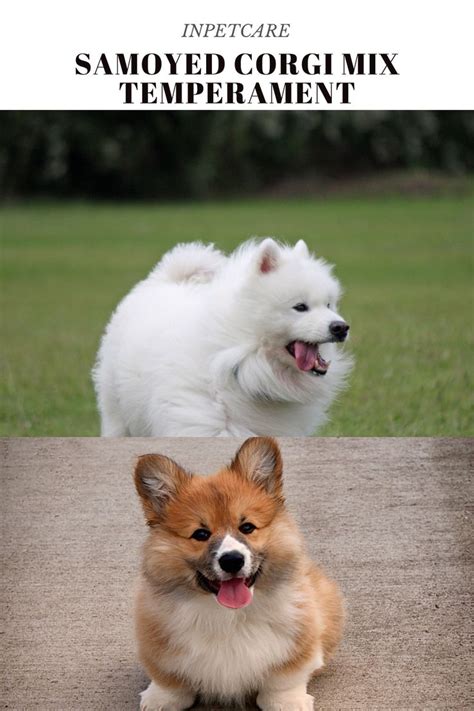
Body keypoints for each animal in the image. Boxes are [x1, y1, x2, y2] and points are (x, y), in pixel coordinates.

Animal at [93, 239, 352, 436]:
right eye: (300, 307)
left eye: (328, 305)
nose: (341, 327)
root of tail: (165, 279)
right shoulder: (202, 420)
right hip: (117, 415)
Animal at [133, 436, 344, 708]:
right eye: (201, 534)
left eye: (247, 527)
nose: (232, 560)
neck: (229, 617)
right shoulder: (157, 644)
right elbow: (169, 680)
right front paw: (160, 699)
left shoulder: (299, 641)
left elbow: (284, 679)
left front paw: (287, 702)